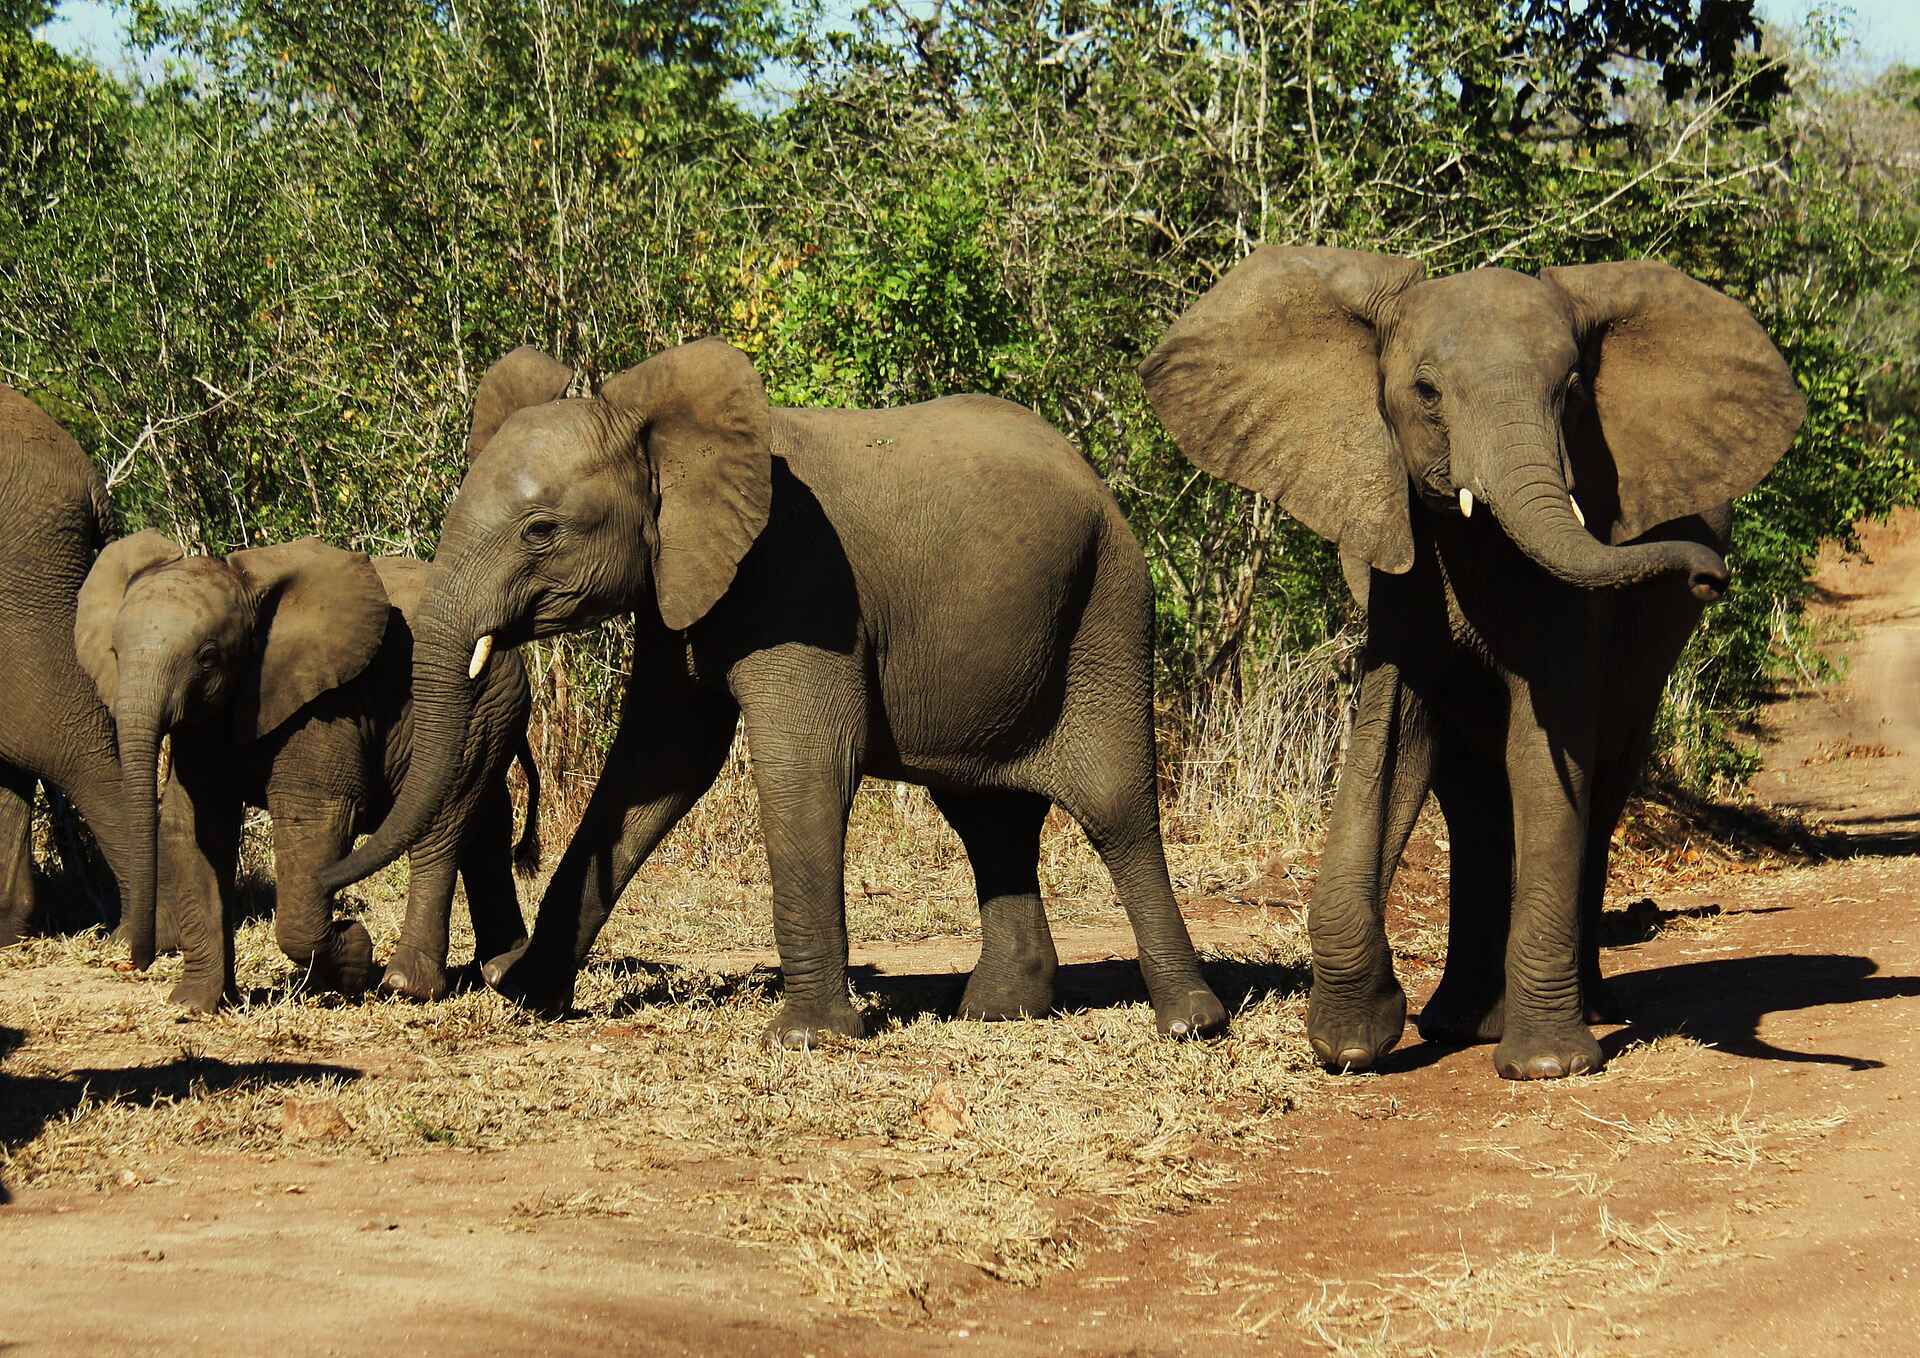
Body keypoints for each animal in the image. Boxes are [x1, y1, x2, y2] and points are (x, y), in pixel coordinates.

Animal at [75, 532, 541, 1011]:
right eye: (114, 653)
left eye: (207, 658)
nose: (134, 961)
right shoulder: (206, 719)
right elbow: (193, 826)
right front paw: (193, 1005)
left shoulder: (325, 705)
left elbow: (312, 819)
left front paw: (354, 955)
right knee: (485, 828)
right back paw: (498, 969)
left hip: (478, 708)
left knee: (442, 828)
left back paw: (406, 985)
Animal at [316, 337, 1227, 1048]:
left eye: (541, 532)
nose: (338, 905)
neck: (660, 433)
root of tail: (1095, 475)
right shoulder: (682, 587)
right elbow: (659, 763)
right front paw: (530, 999)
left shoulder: (803, 580)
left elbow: (803, 761)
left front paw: (809, 1038)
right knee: (986, 817)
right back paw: (996, 1014)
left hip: (1108, 605)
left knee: (1113, 806)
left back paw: (1189, 1022)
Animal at [1140, 248, 1803, 1080]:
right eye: (1426, 392)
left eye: (1573, 391)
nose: (1710, 576)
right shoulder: (1398, 560)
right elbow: (1389, 744)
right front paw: (1352, 1042)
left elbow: (1545, 753)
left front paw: (1547, 1067)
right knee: (1471, 795)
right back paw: (1458, 1023)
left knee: (1605, 775)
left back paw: (1578, 1013)